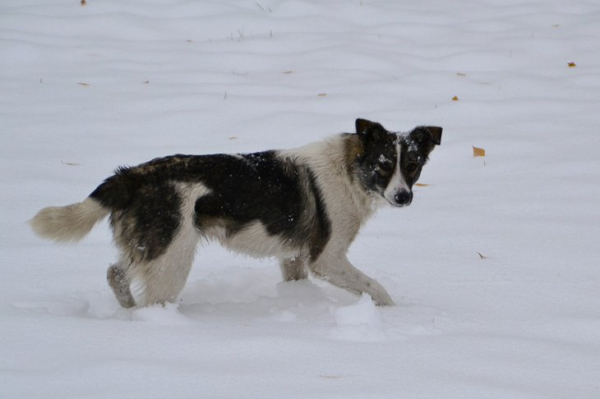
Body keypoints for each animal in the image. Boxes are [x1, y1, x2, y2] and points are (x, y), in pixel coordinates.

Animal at [30, 119, 440, 310]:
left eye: (413, 165)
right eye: (384, 166)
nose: (403, 197)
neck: (349, 168)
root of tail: (132, 175)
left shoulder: (294, 257)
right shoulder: (327, 258)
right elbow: (377, 288)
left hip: (149, 250)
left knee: (115, 273)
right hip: (173, 260)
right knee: (149, 300)